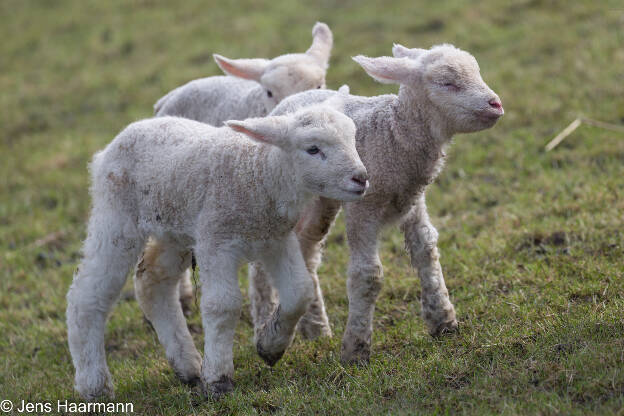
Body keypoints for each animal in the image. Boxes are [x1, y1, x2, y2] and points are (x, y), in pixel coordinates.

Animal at [67, 101, 370, 400]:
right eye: (313, 149)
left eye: (352, 139)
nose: (362, 178)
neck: (259, 173)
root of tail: (109, 148)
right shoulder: (216, 241)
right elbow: (223, 305)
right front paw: (219, 380)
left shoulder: (276, 239)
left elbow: (300, 291)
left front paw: (270, 346)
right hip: (117, 217)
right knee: (87, 295)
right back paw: (94, 385)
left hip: (177, 229)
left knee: (152, 282)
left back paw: (188, 368)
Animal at [249, 42, 502, 360]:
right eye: (447, 83)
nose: (496, 104)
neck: (392, 135)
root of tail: (290, 101)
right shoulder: (364, 207)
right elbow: (368, 275)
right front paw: (355, 349)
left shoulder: (413, 199)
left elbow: (426, 251)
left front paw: (443, 320)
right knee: (262, 261)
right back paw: (265, 330)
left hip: (323, 201)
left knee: (307, 248)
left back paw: (314, 328)